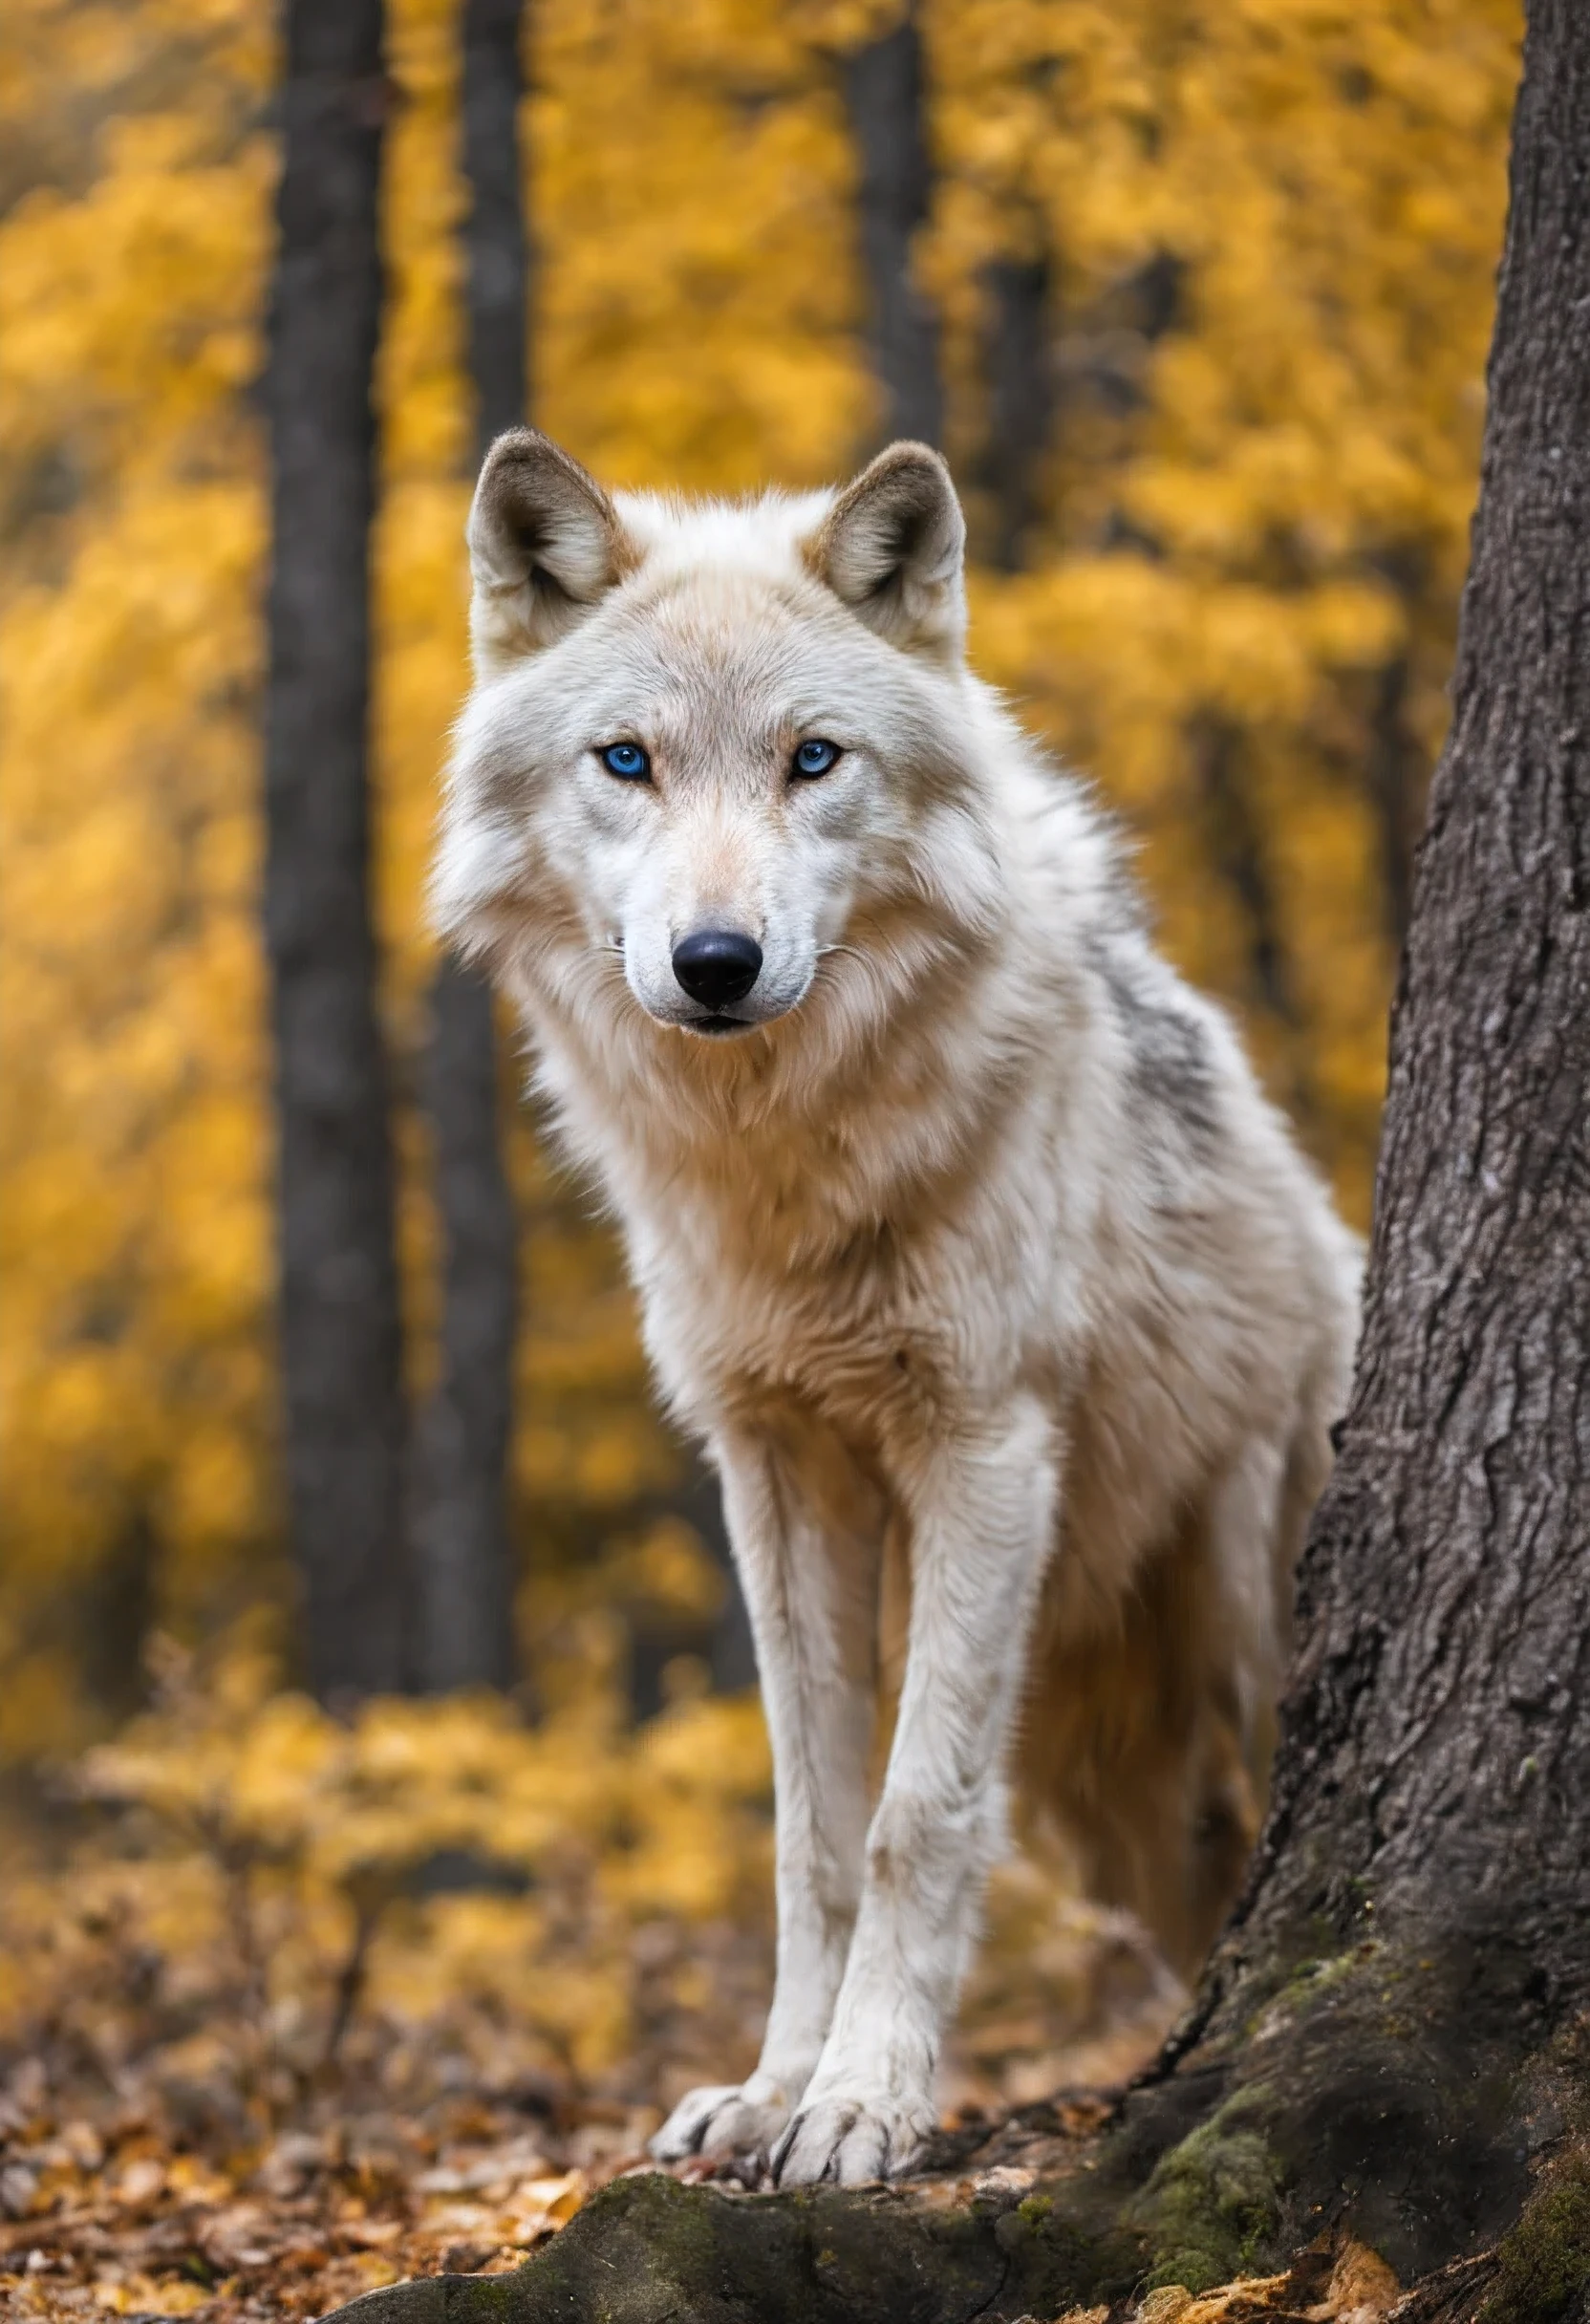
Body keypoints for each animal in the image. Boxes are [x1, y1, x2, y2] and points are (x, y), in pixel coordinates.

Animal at [434, 427, 1366, 2184]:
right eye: (625, 761)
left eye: (813, 759)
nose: (714, 960)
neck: (786, 1162)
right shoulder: (776, 1467)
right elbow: (811, 1824)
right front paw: (771, 2088)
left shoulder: (982, 1447)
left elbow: (912, 1815)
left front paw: (862, 2105)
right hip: (1112, 1796)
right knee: (1201, 1865)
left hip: (1236, 1625)